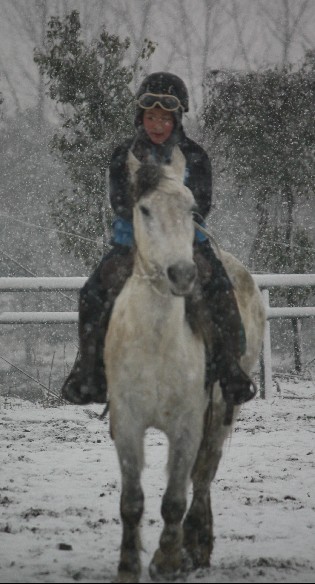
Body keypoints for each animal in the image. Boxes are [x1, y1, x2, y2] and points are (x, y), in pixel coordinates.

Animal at [104, 147, 266, 584]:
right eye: (144, 208)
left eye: (192, 209)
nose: (182, 274)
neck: (157, 343)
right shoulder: (127, 424)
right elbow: (131, 500)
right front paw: (128, 566)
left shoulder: (187, 425)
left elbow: (175, 498)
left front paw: (167, 561)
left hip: (223, 410)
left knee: (204, 473)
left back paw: (197, 545)